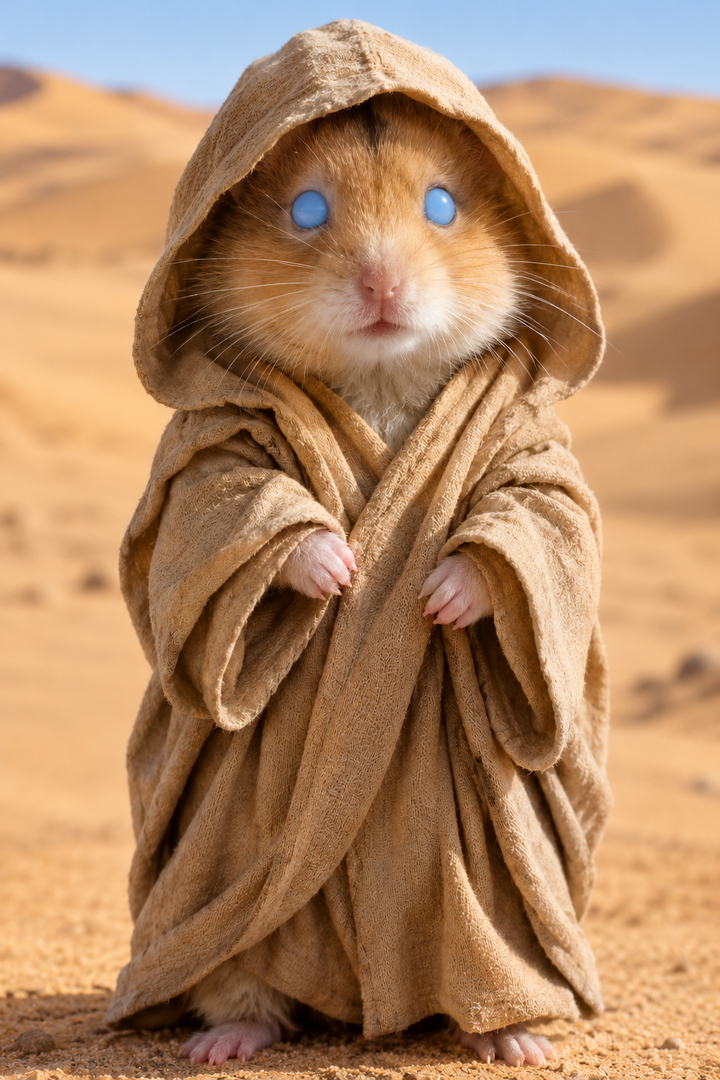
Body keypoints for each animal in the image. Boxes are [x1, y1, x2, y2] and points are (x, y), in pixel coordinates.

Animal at [178, 95, 554, 1068]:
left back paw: (517, 1039)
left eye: (443, 205)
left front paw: (434, 595)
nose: (383, 289)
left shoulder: (537, 460)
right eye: (308, 209)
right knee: (244, 985)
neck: (380, 374)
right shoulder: (211, 456)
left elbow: (521, 517)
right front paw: (343, 570)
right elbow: (247, 506)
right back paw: (223, 1041)